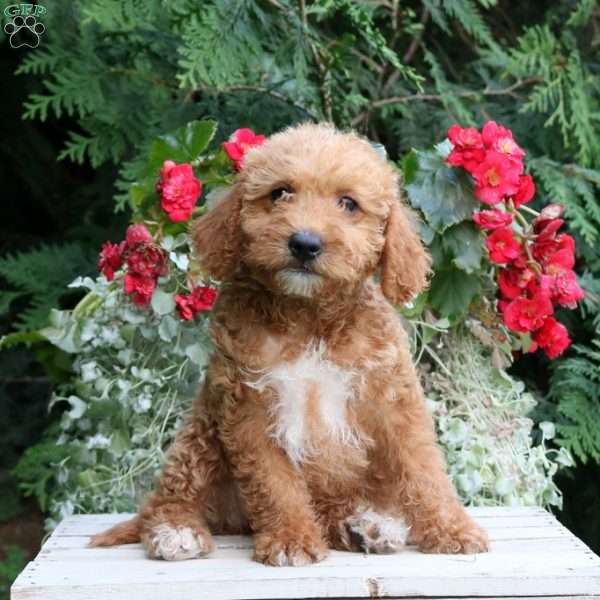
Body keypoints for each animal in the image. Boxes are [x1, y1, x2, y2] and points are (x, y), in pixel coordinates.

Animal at [92, 124, 488, 564]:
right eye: (280, 193)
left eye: (348, 203)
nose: (304, 243)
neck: (309, 317)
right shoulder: (248, 406)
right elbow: (274, 484)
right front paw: (291, 540)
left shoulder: (392, 399)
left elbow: (423, 468)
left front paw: (452, 529)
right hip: (201, 435)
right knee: (170, 497)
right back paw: (177, 531)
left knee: (333, 504)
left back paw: (365, 525)